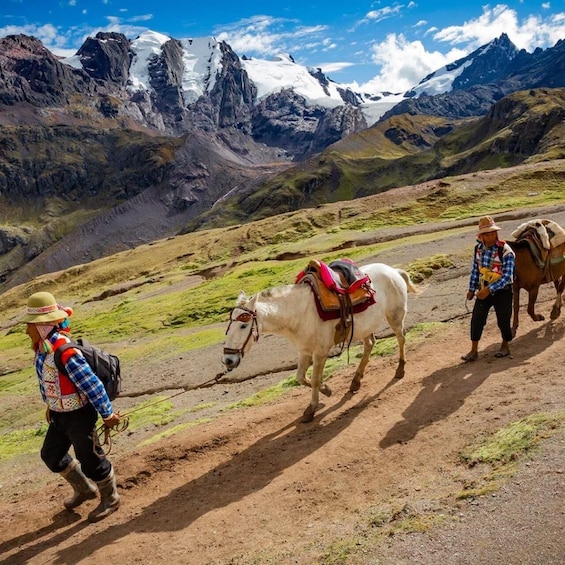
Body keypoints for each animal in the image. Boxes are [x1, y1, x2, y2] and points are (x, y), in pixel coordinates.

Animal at [223, 262, 416, 420]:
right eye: (228, 326)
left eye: (243, 325)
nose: (228, 360)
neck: (300, 313)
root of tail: (394, 271)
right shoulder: (304, 351)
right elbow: (301, 377)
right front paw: (327, 389)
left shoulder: (320, 352)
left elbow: (315, 379)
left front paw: (311, 408)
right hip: (366, 327)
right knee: (369, 345)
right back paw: (355, 381)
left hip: (395, 317)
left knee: (401, 338)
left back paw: (400, 370)